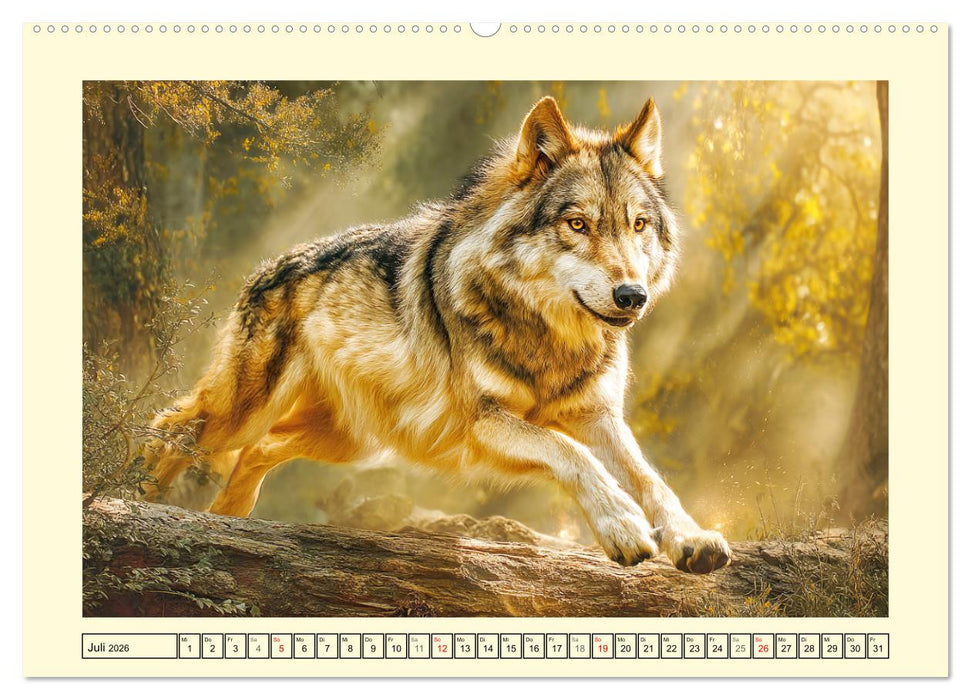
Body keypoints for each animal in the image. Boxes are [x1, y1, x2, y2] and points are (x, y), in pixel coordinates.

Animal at [145, 96, 732, 574]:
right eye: (578, 224)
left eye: (638, 225)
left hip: (351, 441)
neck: (548, 342)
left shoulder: (598, 416)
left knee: (259, 451)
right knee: (173, 423)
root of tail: (269, 265)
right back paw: (143, 500)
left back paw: (231, 518)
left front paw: (692, 537)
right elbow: (570, 453)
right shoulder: (483, 423)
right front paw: (622, 526)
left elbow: (649, 477)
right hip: (247, 414)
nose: (632, 295)